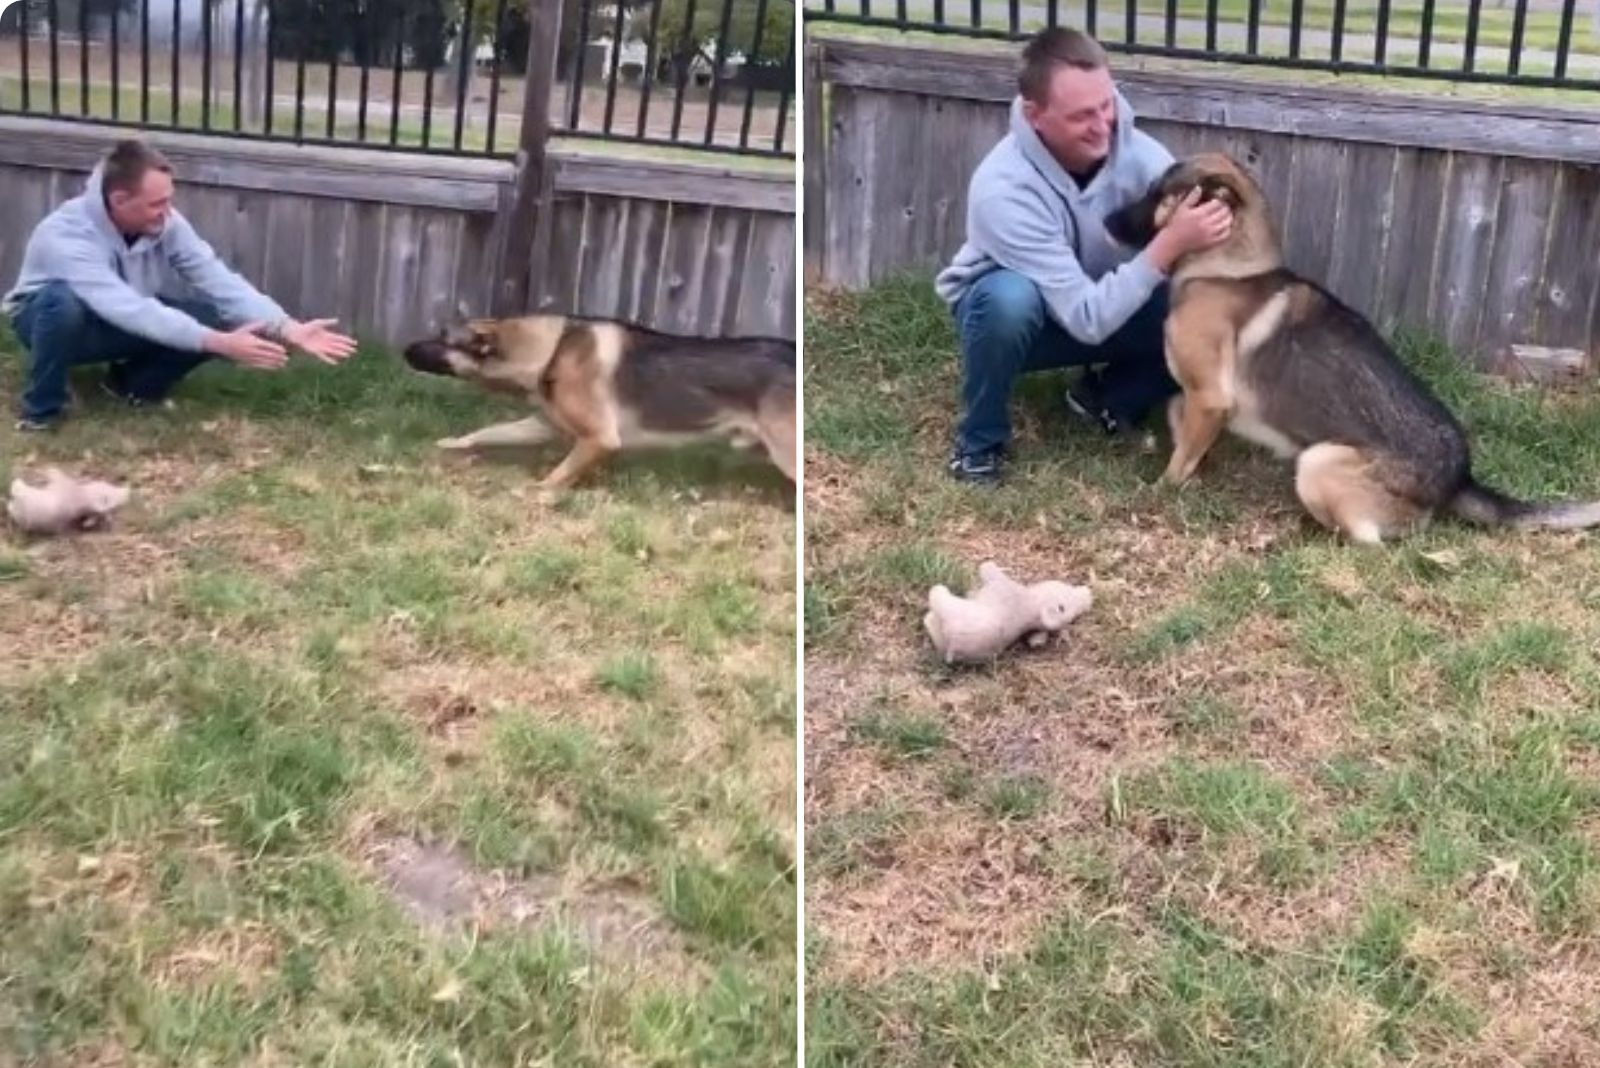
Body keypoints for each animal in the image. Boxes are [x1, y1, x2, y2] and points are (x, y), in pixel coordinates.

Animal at [403, 308, 796, 492]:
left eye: (442, 338)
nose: (404, 348)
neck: (551, 351)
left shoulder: (599, 439)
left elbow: (558, 475)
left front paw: (539, 493)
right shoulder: (542, 425)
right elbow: (487, 432)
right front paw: (453, 444)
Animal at [1107, 151, 1600, 543]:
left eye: (1157, 193)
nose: (1105, 221)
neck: (1225, 268)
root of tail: (1459, 478)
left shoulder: (1210, 396)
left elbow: (1177, 458)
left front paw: (1165, 488)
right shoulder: (1204, 402)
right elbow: (1179, 419)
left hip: (1318, 464)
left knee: (1368, 539)